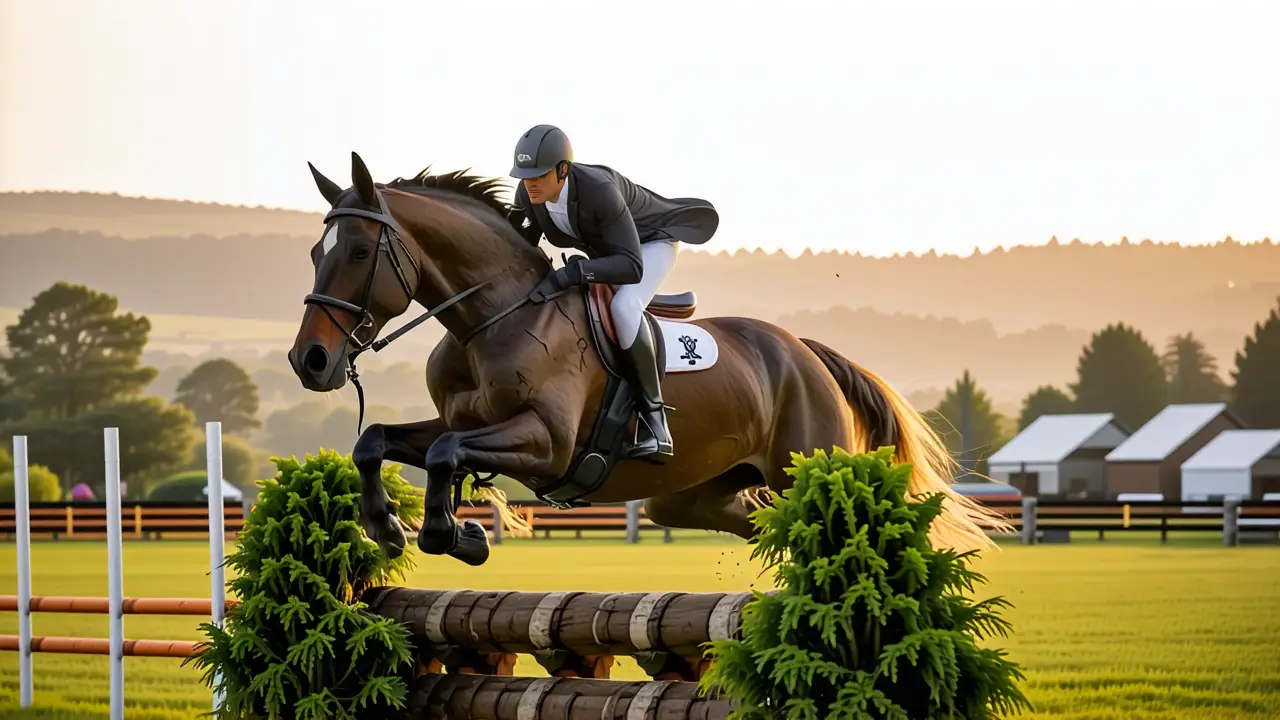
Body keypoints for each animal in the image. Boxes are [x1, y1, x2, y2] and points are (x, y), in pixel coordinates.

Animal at [288, 152, 1011, 567]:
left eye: (360, 252)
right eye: (316, 252)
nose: (310, 361)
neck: (489, 320)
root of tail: (805, 354)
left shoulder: (546, 444)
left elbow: (443, 456)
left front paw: (454, 534)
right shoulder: (463, 423)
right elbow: (380, 442)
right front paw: (388, 529)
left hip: (804, 465)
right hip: (691, 499)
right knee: (759, 523)